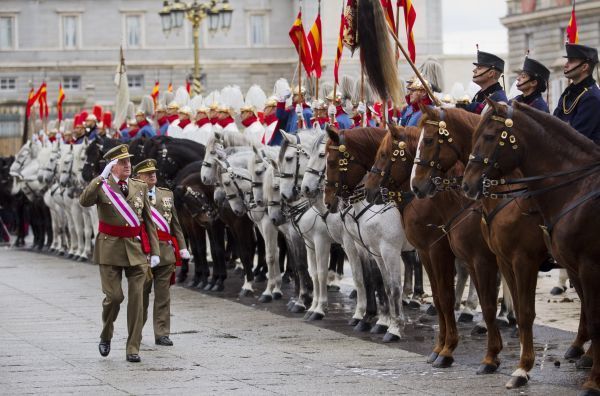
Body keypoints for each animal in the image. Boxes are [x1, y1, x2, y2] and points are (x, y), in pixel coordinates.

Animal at [462, 98, 600, 392]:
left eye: (488, 136)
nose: (467, 184)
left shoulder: (529, 261)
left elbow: (526, 312)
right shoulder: (506, 261)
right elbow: (515, 310)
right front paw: (517, 366)